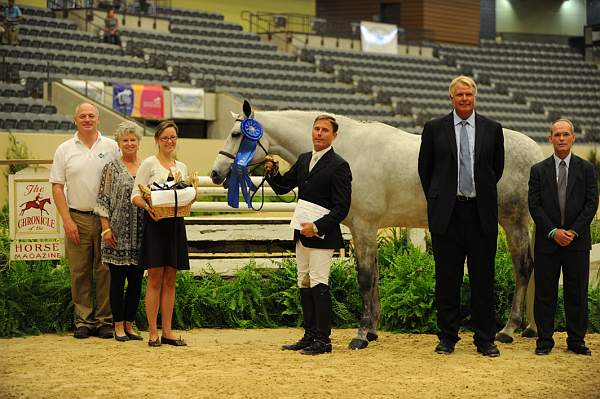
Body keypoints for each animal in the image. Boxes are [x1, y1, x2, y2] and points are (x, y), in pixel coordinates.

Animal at [211, 102, 544, 350]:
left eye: (237, 134)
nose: (216, 173)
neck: (349, 150)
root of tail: (537, 154)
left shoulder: (364, 227)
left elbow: (365, 278)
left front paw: (361, 334)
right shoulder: (365, 231)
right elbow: (374, 277)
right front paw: (372, 330)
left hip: (512, 221)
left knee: (524, 267)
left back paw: (508, 329)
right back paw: (529, 328)